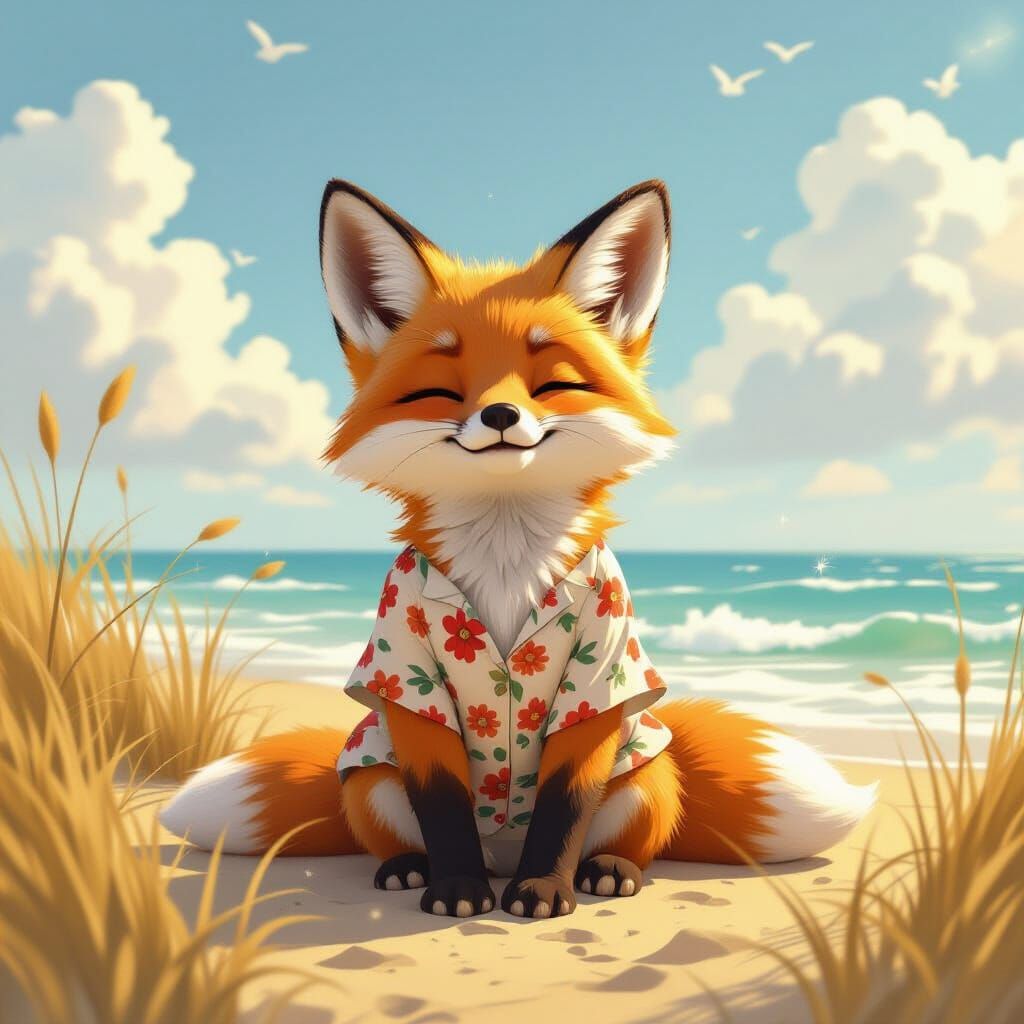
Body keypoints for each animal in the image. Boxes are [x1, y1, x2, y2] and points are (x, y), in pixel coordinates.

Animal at [160, 179, 876, 920]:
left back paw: (607, 869)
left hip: (646, 779)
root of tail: (500, 851)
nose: (500, 416)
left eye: (552, 382)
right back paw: (410, 868)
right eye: (441, 391)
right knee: (393, 832)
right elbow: (442, 803)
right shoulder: (409, 685)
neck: (506, 566)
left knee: (633, 839)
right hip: (370, 777)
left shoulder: (597, 685)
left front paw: (544, 891)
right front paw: (455, 890)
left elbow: (565, 805)